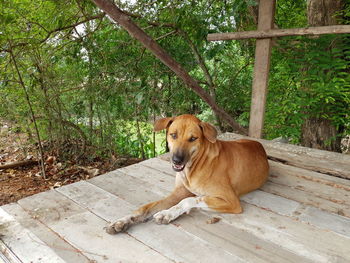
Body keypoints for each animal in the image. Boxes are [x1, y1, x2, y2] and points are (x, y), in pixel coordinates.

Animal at [106, 114, 268, 234]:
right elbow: (146, 208)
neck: (195, 166)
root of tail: (258, 144)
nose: (176, 160)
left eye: (193, 138)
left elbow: (188, 200)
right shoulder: (179, 192)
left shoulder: (231, 201)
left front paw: (167, 213)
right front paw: (122, 220)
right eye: (173, 135)